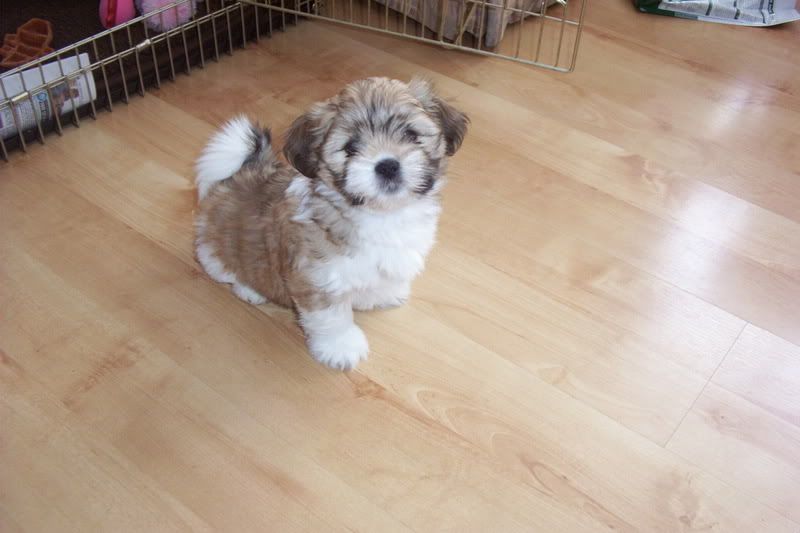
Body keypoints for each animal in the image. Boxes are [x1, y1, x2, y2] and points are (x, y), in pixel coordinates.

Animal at [194, 77, 468, 370]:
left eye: (411, 135)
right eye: (350, 148)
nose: (387, 166)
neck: (381, 214)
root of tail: (237, 175)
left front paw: (383, 294)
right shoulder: (317, 279)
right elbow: (332, 318)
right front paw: (342, 348)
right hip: (214, 253)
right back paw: (249, 289)